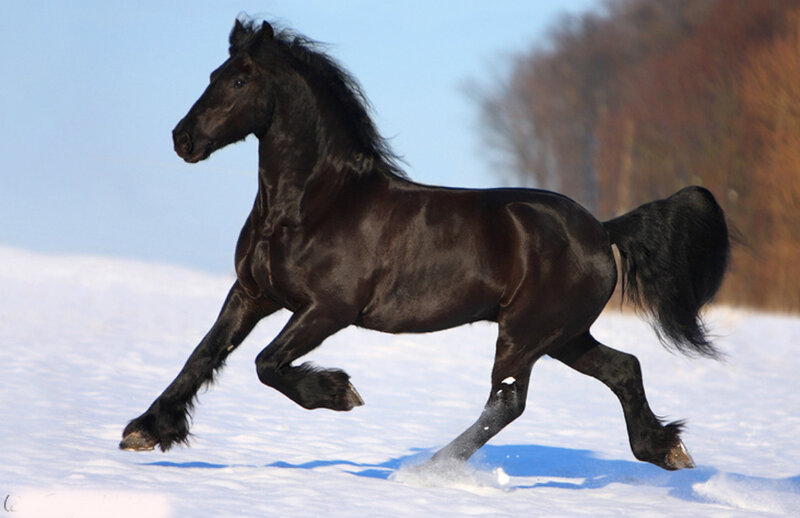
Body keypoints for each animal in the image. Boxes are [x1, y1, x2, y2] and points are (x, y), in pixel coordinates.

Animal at [120, 19, 730, 472]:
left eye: (241, 81)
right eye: (215, 73)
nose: (183, 139)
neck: (312, 205)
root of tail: (602, 231)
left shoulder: (328, 309)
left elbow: (267, 363)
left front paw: (339, 392)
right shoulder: (251, 293)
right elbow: (203, 355)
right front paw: (144, 431)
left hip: (527, 331)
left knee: (508, 399)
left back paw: (426, 469)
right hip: (562, 335)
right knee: (622, 368)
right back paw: (665, 449)